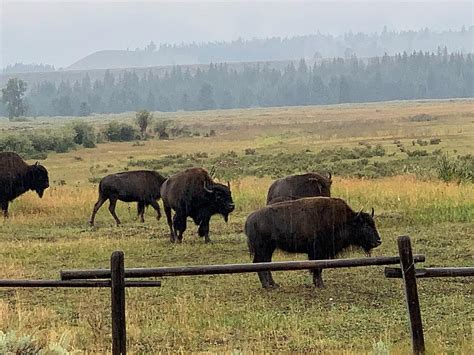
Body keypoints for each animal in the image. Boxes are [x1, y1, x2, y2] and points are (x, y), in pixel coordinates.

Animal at [244, 196, 382, 290]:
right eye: (365, 226)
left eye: (373, 224)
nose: (378, 241)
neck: (346, 220)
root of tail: (250, 219)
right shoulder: (317, 252)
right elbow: (317, 268)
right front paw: (320, 285)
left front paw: (317, 284)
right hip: (263, 248)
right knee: (259, 263)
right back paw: (267, 286)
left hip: (269, 248)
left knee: (266, 263)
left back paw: (273, 284)